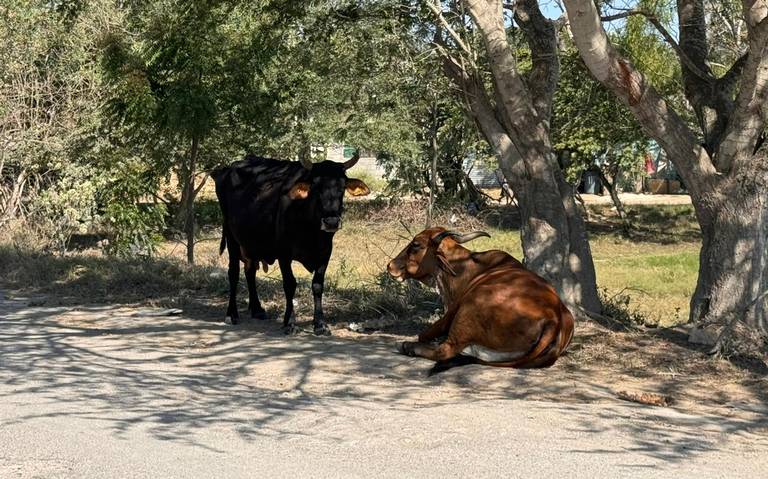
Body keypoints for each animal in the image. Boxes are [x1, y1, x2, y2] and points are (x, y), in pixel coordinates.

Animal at [214, 152, 370, 336]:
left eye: (342, 187)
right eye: (315, 187)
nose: (331, 222)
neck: (311, 231)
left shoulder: (325, 252)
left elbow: (318, 285)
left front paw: (320, 324)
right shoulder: (284, 253)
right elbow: (290, 284)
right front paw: (290, 322)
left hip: (251, 244)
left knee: (250, 272)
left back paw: (257, 309)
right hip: (232, 237)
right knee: (233, 273)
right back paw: (231, 314)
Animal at [388, 227, 572, 376]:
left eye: (416, 244)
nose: (391, 265)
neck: (466, 267)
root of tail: (553, 318)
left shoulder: (451, 312)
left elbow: (425, 333)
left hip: (468, 310)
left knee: (445, 350)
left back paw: (409, 347)